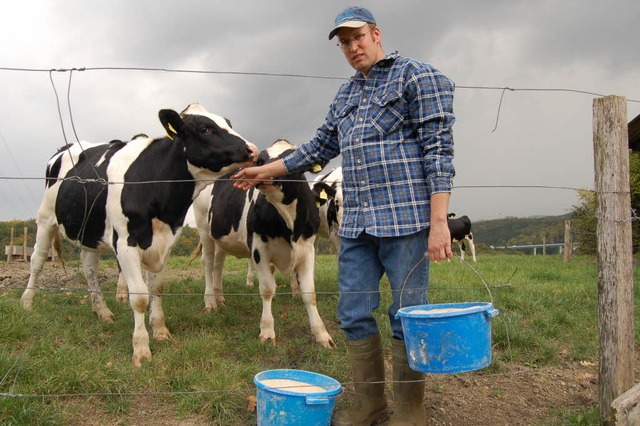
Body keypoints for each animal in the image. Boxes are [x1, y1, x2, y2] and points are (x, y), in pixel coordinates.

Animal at [21, 104, 258, 366]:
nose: (252, 149)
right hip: (45, 219)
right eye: (205, 128)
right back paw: (27, 301)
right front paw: (142, 348)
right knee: (37, 260)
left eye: (229, 123)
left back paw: (102, 311)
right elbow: (140, 297)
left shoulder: (165, 243)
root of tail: (67, 146)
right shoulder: (126, 244)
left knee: (89, 268)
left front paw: (160, 330)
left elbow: (157, 288)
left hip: (90, 232)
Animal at [192, 140, 336, 350]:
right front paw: (267, 332)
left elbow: (309, 293)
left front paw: (322, 334)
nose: (261, 174)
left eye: (289, 158)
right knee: (208, 264)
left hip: (221, 239)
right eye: (261, 160)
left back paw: (220, 299)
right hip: (204, 229)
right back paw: (210, 301)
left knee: (218, 265)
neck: (288, 221)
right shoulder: (259, 248)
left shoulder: (308, 249)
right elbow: (267, 289)